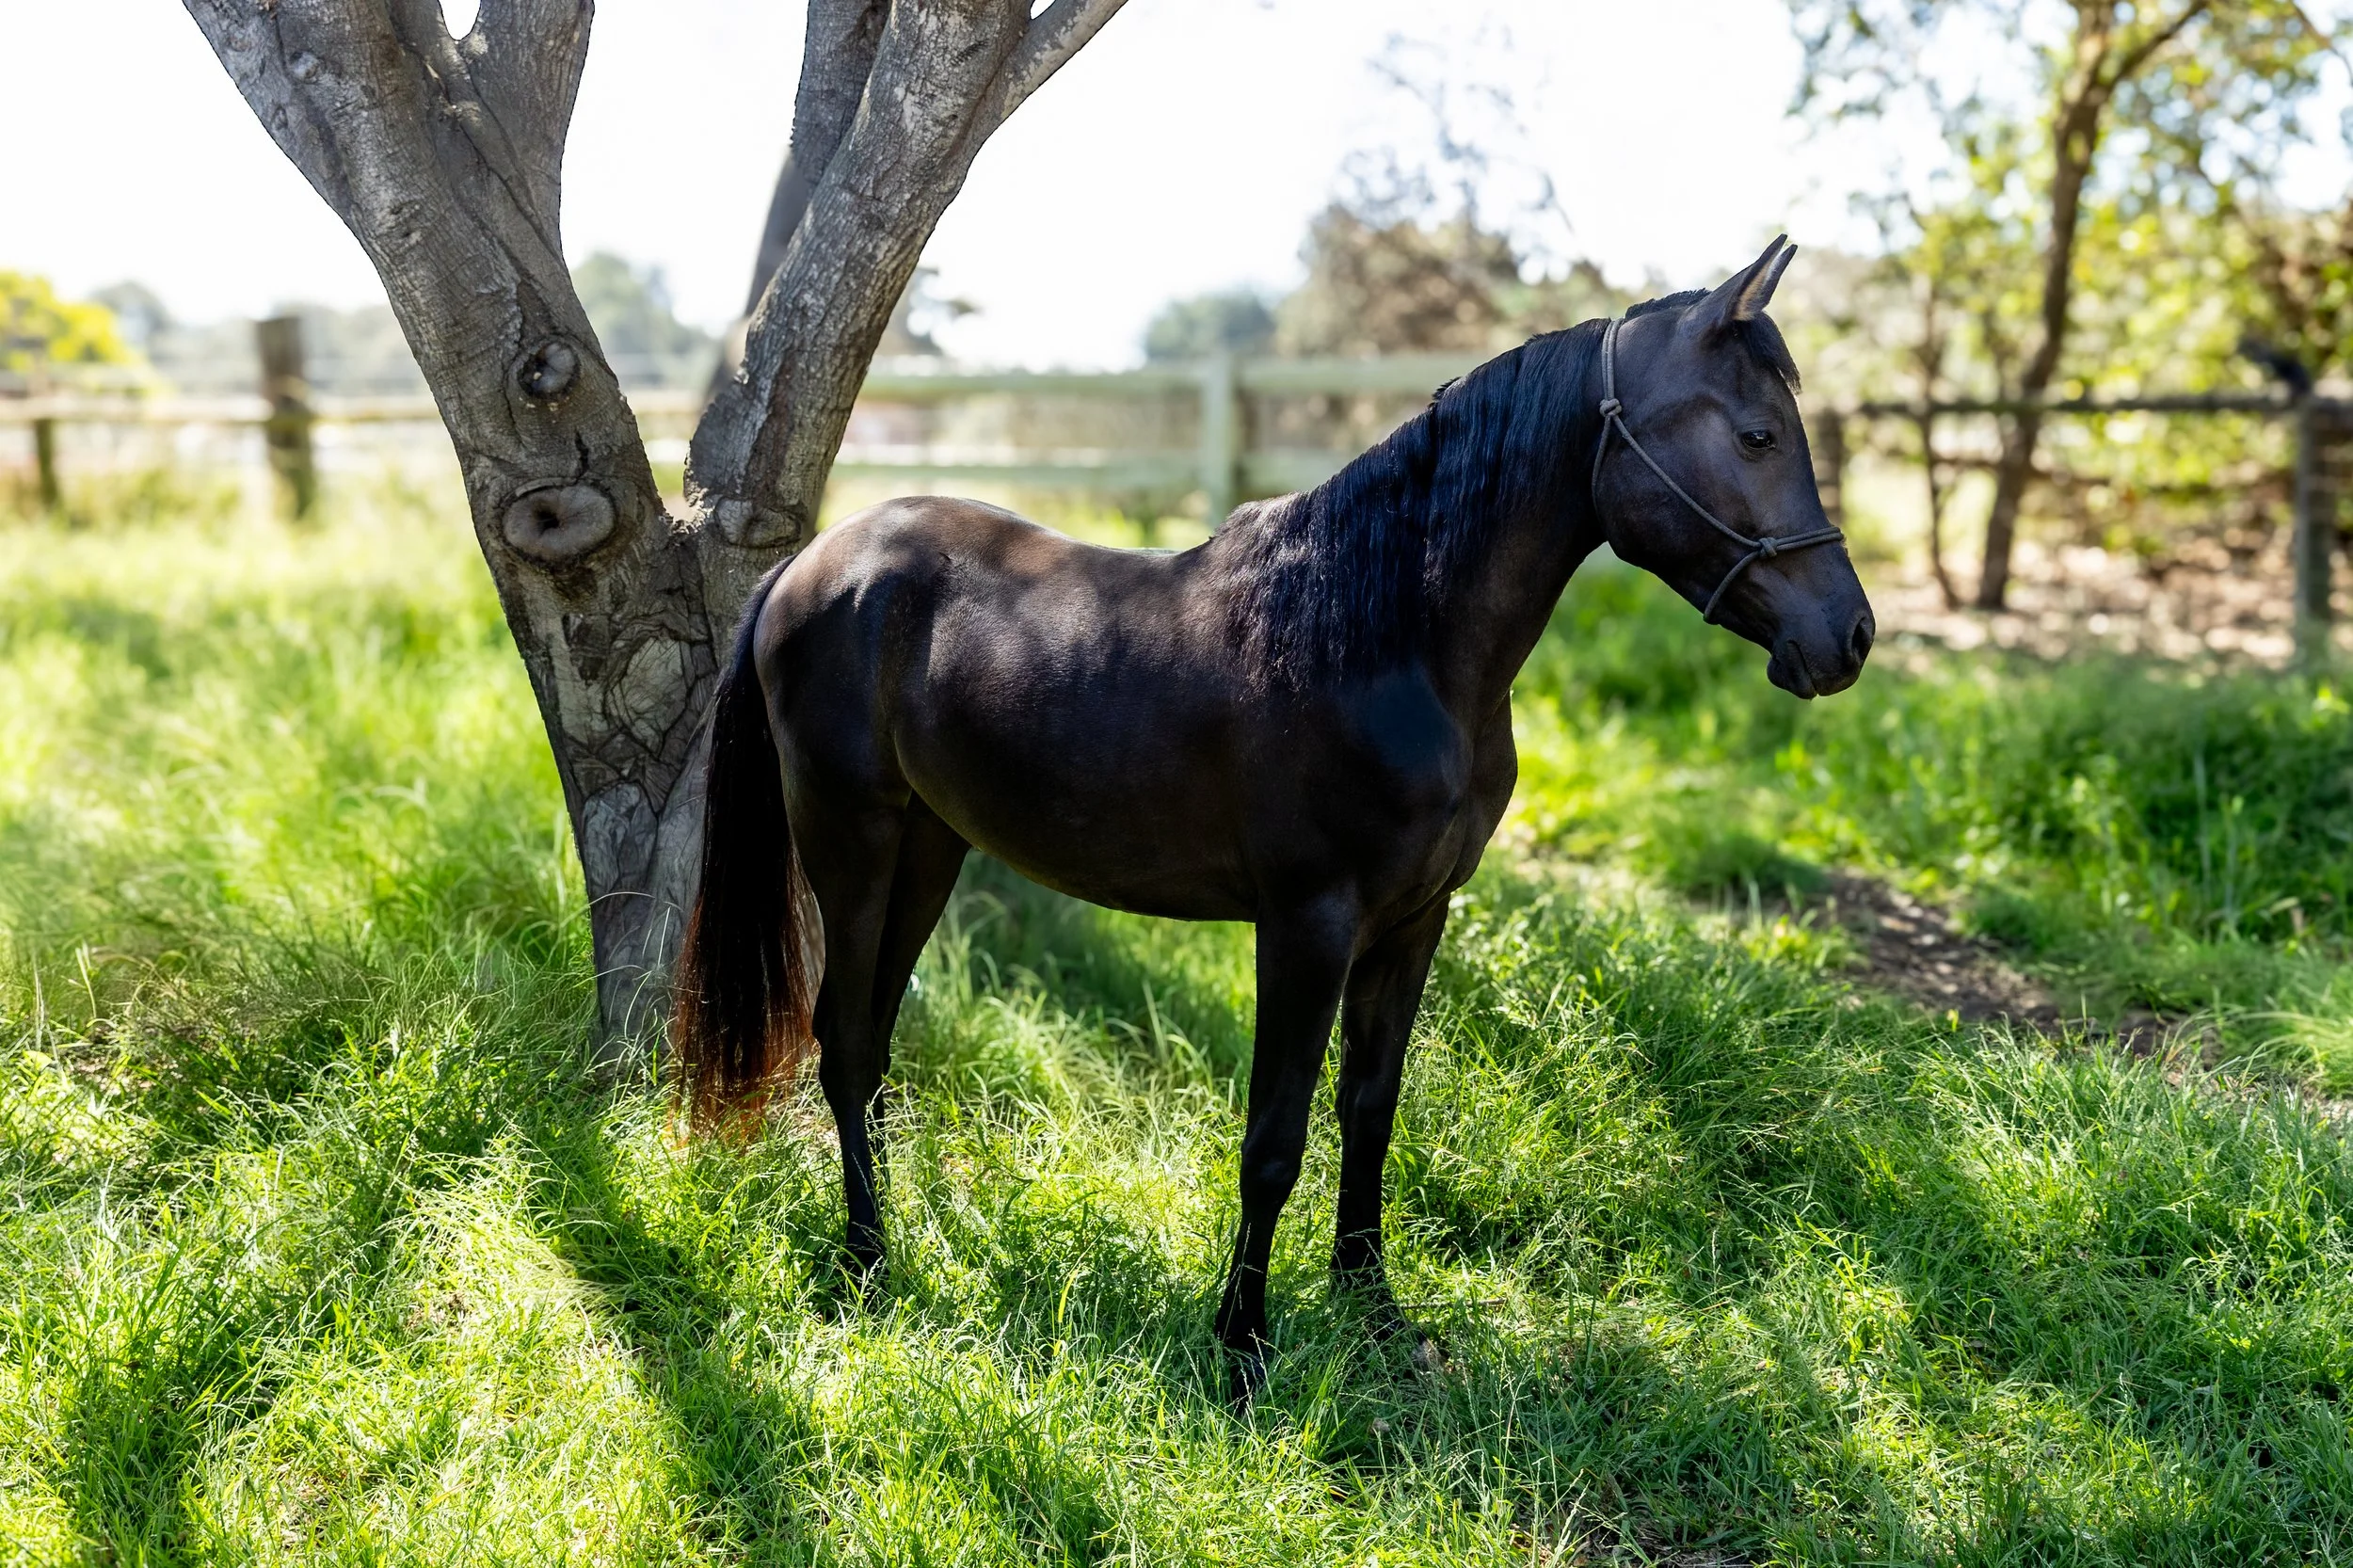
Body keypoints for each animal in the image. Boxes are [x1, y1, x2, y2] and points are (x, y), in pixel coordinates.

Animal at [670, 236, 1873, 1398]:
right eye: (1758, 432)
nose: (1849, 636)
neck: (1387, 643)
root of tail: (810, 566)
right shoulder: (1306, 925)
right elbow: (1274, 1139)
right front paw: (1242, 1347)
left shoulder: (1414, 922)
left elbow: (1370, 1110)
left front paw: (1372, 1312)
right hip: (852, 842)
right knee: (838, 1039)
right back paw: (866, 1264)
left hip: (931, 846)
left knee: (873, 1042)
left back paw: (899, 1232)